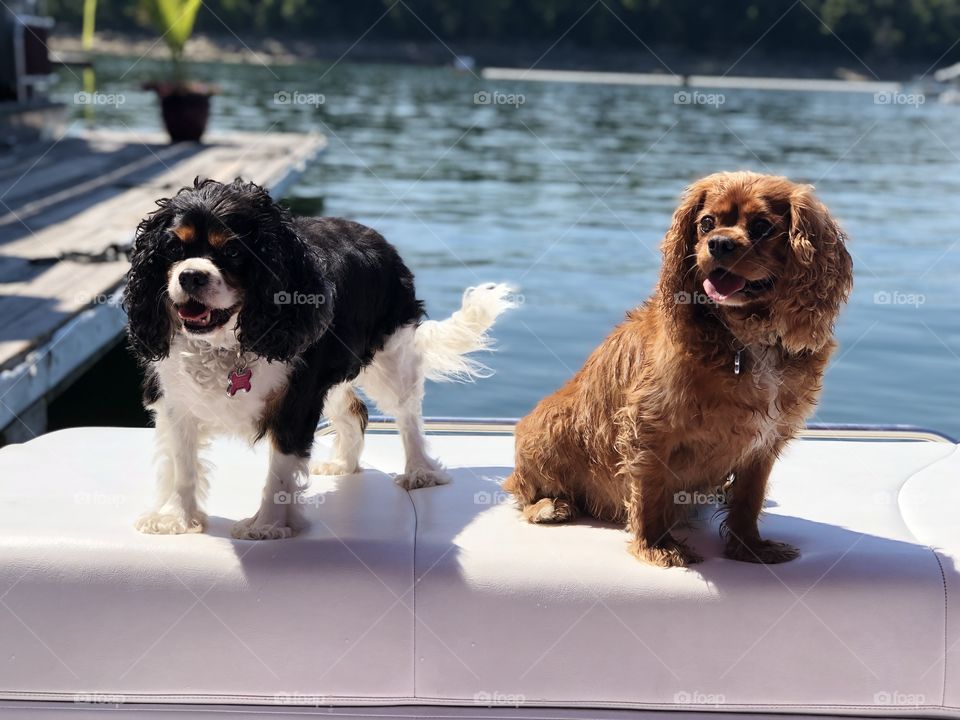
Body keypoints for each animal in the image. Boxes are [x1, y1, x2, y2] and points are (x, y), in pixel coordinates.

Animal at [125, 179, 516, 540]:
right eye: (173, 247)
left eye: (234, 250)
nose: (190, 275)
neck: (227, 343)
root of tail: (377, 238)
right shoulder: (176, 400)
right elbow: (182, 465)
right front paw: (176, 518)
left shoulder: (296, 401)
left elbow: (281, 470)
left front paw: (267, 525)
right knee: (354, 411)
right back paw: (344, 463)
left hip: (392, 360)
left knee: (408, 417)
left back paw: (420, 471)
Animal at [506, 172, 852, 564]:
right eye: (706, 224)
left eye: (763, 227)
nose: (719, 243)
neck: (746, 336)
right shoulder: (650, 427)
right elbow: (651, 490)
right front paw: (656, 546)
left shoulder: (765, 441)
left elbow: (749, 498)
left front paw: (749, 547)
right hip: (550, 424)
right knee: (523, 491)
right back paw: (550, 506)